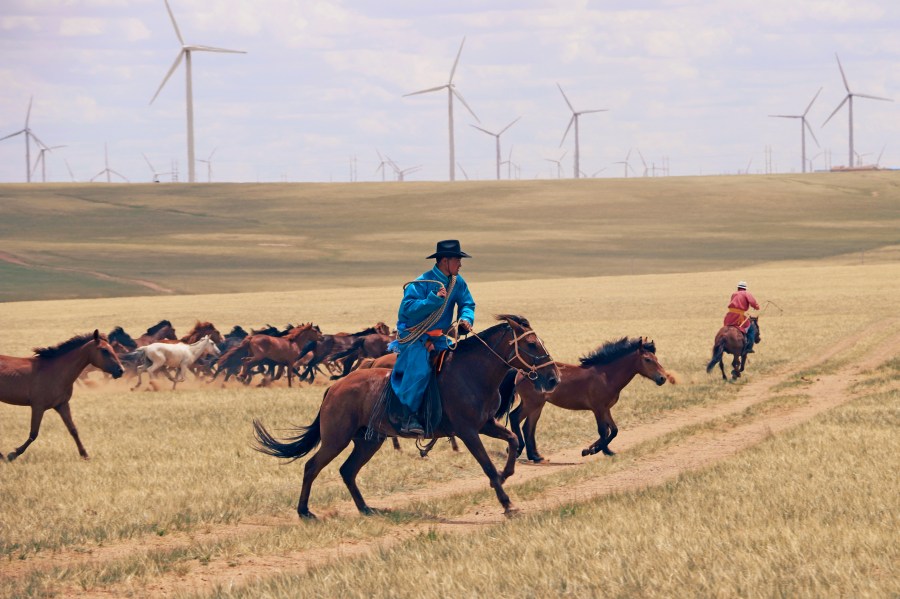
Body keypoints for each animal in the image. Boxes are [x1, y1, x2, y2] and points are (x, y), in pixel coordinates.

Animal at [0, 330, 125, 462]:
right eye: (104, 350)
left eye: (112, 348)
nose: (121, 370)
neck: (55, 372)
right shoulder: (38, 407)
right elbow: (33, 433)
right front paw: (13, 454)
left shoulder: (62, 405)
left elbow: (73, 430)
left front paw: (85, 455)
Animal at [253, 316, 560, 516]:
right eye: (532, 345)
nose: (553, 377)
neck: (472, 373)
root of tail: (335, 388)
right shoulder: (468, 431)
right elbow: (487, 465)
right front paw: (507, 502)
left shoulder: (486, 424)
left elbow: (512, 441)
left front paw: (506, 475)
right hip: (335, 439)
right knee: (312, 467)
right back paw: (304, 511)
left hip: (368, 441)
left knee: (347, 471)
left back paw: (366, 508)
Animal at [506, 338, 668, 464]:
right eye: (647, 359)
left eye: (656, 359)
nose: (663, 378)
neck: (606, 376)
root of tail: (521, 371)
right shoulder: (598, 409)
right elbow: (603, 431)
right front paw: (591, 450)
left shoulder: (606, 408)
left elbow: (613, 430)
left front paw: (604, 451)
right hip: (532, 404)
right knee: (515, 417)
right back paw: (518, 450)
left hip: (537, 405)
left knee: (528, 427)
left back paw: (535, 456)